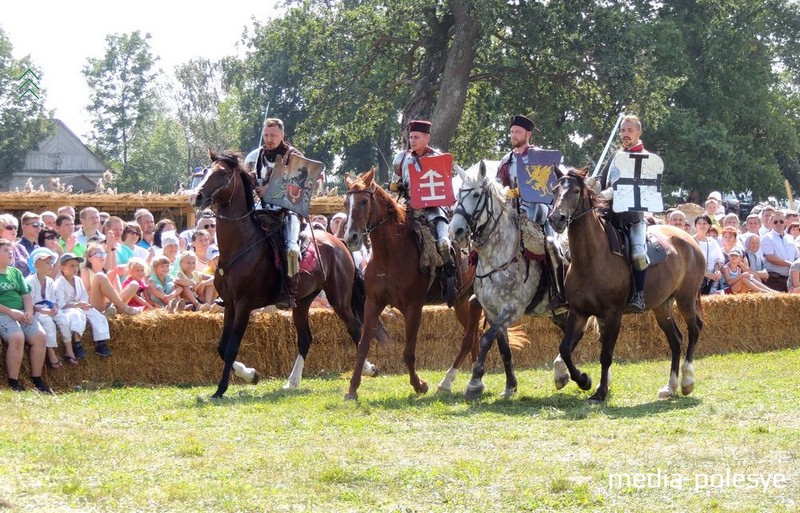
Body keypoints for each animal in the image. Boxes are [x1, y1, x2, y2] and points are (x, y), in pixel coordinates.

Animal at [194, 150, 382, 398]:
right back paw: (292, 381)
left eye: (222, 173)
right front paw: (251, 375)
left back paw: (369, 369)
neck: (239, 246)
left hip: (339, 300)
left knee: (356, 329)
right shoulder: (230, 305)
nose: (197, 197)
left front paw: (221, 389)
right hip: (302, 302)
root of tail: (339, 242)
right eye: (206, 171)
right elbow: (222, 348)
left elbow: (232, 347)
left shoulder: (244, 305)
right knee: (305, 339)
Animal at [342, 169, 482, 400]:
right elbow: (362, 346)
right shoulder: (373, 303)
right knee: (475, 335)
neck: (390, 254)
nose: (351, 237)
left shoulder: (413, 307)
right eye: (346, 203)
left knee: (471, 337)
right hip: (462, 301)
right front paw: (352, 389)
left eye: (363, 201)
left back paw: (448, 381)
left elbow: (408, 352)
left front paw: (419, 385)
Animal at [548, 166, 704, 402]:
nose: (557, 218)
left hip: (686, 299)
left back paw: (687, 381)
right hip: (662, 306)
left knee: (694, 330)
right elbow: (565, 348)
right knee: (676, 340)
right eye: (556, 190)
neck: (591, 258)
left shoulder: (614, 314)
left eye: (575, 191)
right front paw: (583, 380)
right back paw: (670, 387)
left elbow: (606, 355)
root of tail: (690, 240)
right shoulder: (579, 312)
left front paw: (600, 392)